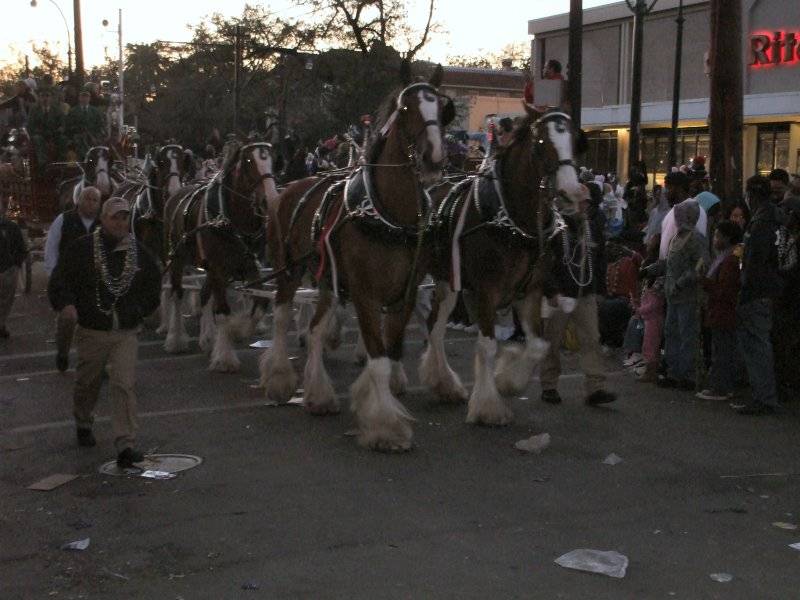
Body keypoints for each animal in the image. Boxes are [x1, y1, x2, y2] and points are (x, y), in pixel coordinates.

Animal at [161, 144, 280, 370]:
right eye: (249, 161)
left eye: (272, 159)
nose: (269, 200)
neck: (228, 219)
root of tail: (176, 194)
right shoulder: (218, 266)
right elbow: (223, 310)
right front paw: (224, 358)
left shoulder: (248, 265)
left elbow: (260, 305)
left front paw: (240, 329)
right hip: (178, 259)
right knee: (177, 294)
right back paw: (175, 339)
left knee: (204, 294)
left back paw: (207, 339)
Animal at [260, 67, 454, 450]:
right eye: (406, 108)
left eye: (442, 109)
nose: (434, 158)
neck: (388, 215)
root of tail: (290, 188)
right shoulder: (365, 294)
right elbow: (377, 358)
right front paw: (386, 426)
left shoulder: (405, 293)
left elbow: (391, 348)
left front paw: (378, 401)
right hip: (289, 270)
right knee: (281, 317)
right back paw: (279, 379)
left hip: (326, 279)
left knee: (316, 329)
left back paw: (318, 395)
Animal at [422, 106, 584, 426]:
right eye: (542, 142)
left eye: (574, 139)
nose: (572, 192)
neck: (512, 221)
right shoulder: (486, 290)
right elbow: (487, 346)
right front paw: (488, 406)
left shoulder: (529, 290)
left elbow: (538, 345)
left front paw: (509, 380)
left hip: (447, 280)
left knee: (434, 325)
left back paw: (444, 384)